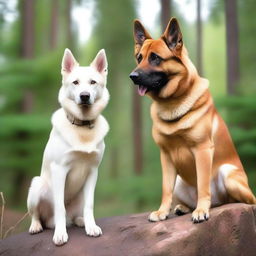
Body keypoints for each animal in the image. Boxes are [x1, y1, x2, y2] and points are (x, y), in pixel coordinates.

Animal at [27, 48, 109, 246]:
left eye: (93, 82)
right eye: (75, 82)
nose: (85, 96)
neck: (82, 126)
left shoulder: (93, 171)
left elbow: (90, 205)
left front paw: (91, 227)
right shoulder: (59, 170)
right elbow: (60, 207)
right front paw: (60, 234)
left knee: (74, 215)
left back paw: (80, 221)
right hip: (36, 186)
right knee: (38, 215)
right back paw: (37, 226)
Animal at [130, 17, 256, 222]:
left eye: (155, 58)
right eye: (139, 58)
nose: (132, 76)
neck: (172, 104)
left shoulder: (202, 150)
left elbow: (203, 185)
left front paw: (201, 210)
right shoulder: (166, 156)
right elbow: (165, 189)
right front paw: (162, 211)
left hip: (228, 174)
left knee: (242, 200)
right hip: (179, 183)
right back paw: (183, 208)